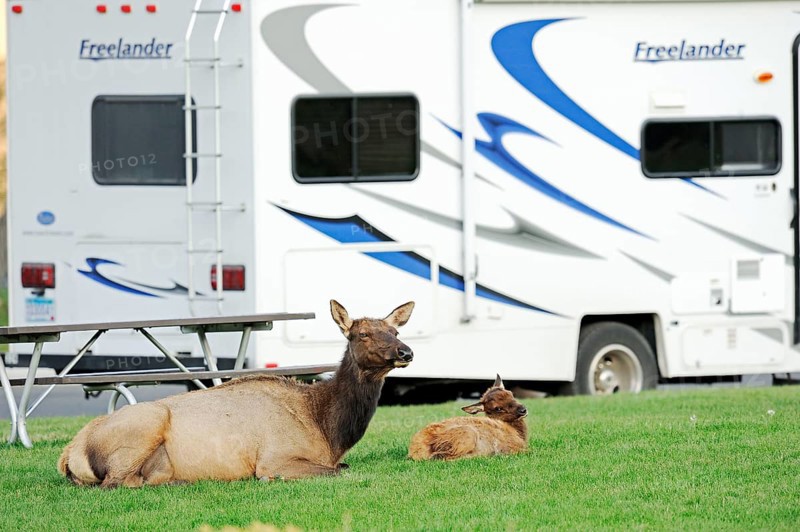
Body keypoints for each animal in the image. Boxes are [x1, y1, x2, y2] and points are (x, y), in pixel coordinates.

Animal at [58, 300, 415, 488]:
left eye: (395, 330)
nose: (406, 351)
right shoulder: (275, 459)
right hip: (145, 424)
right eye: (362, 334)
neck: (328, 431)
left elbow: (346, 467)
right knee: (116, 481)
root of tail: (69, 454)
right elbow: (339, 471)